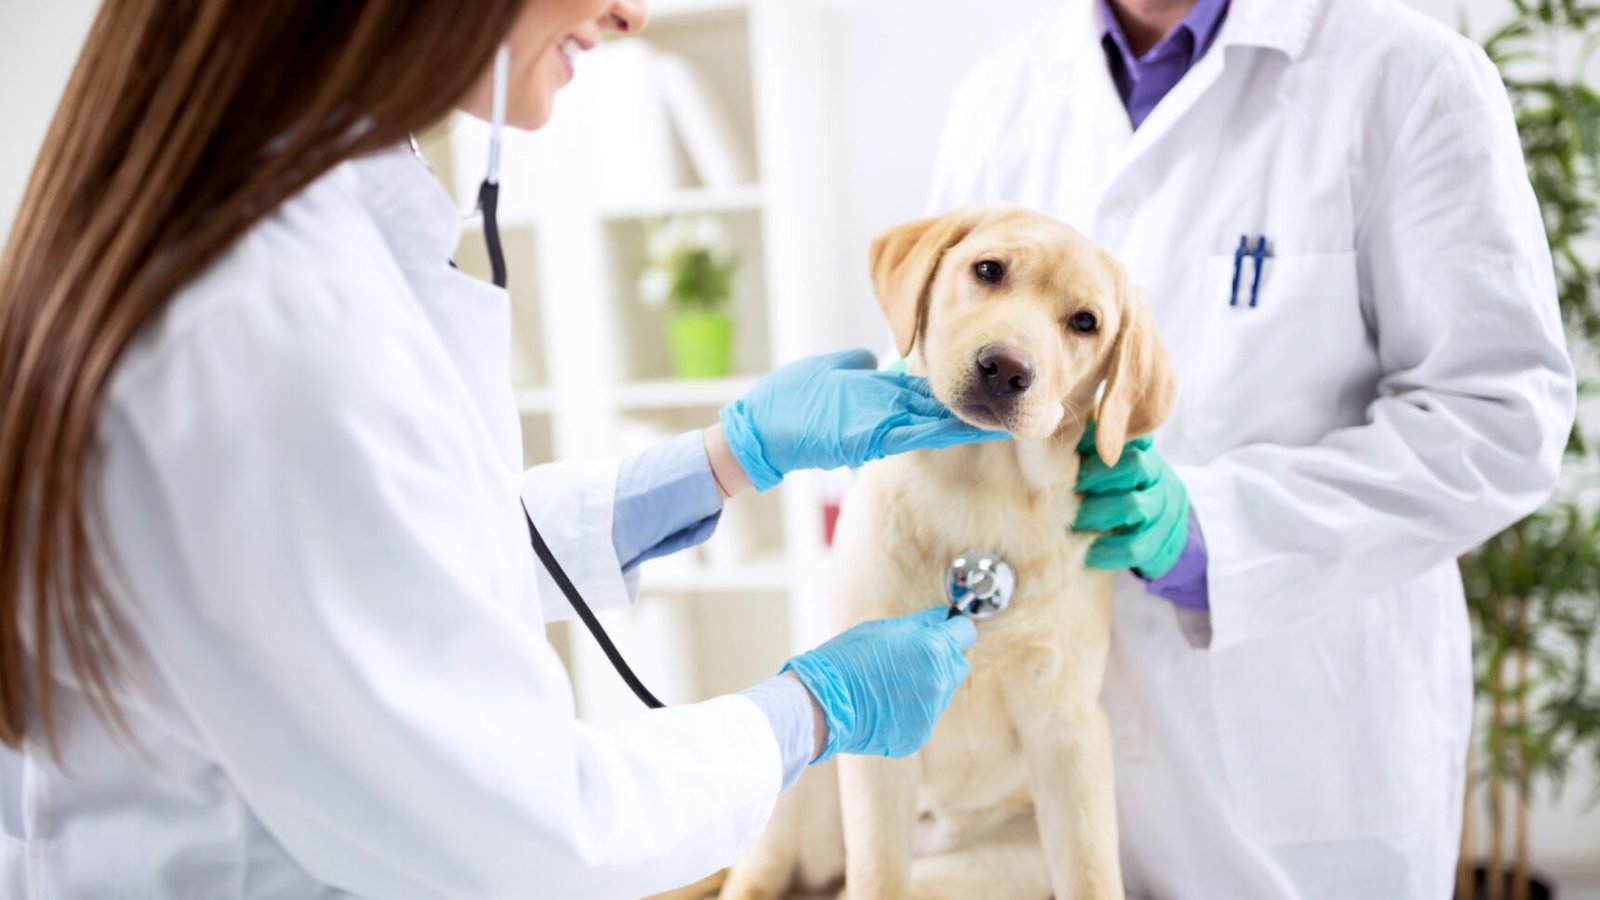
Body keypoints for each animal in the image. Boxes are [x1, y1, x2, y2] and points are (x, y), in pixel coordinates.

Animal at [720, 206, 1171, 896]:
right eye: (987, 270)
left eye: (1085, 323)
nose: (1007, 367)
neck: (983, 493)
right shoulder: (876, 748)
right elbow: (878, 873)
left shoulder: (1069, 734)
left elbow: (1094, 875)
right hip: (800, 798)